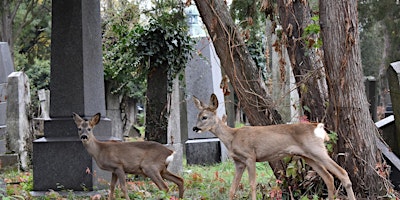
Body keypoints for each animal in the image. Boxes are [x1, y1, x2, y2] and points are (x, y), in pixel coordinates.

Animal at [192, 94, 354, 200]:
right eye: (197, 116)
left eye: (204, 117)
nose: (194, 128)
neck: (232, 137)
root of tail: (318, 127)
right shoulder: (239, 162)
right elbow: (232, 189)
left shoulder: (250, 156)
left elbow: (252, 184)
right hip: (308, 155)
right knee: (329, 178)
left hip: (317, 150)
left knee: (342, 173)